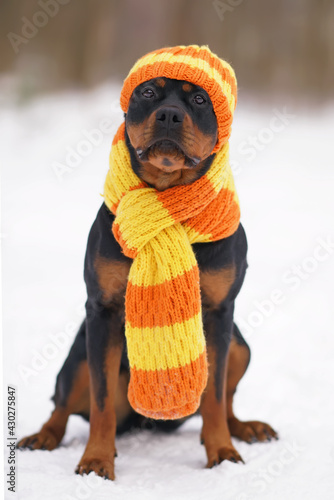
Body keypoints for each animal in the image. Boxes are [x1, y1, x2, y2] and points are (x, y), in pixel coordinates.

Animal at [17, 65, 276, 476]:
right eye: (149, 93)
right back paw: (44, 436)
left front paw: (222, 452)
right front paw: (96, 459)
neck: (168, 194)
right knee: (61, 402)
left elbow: (216, 396)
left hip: (240, 346)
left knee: (227, 398)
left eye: (200, 99)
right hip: (78, 354)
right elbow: (102, 399)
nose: (169, 114)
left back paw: (245, 427)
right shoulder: (103, 311)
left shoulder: (220, 313)